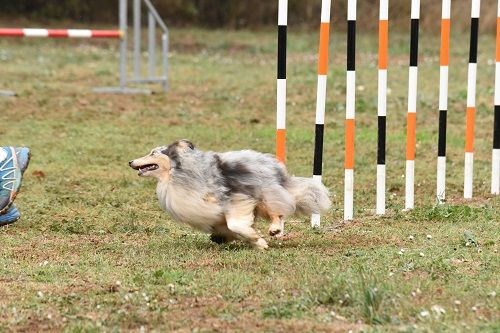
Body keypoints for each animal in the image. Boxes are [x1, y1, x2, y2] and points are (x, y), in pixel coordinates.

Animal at [131, 139, 330, 248]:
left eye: (153, 153)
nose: (130, 161)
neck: (177, 173)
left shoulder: (235, 200)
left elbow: (235, 224)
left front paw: (258, 241)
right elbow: (228, 228)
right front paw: (233, 239)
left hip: (265, 192)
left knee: (277, 210)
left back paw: (274, 229)